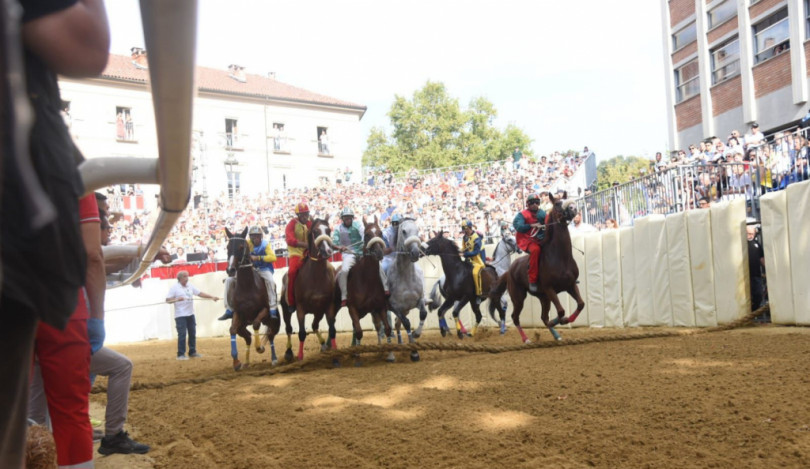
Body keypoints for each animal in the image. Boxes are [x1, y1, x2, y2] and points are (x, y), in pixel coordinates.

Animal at [224, 227, 280, 370]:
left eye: (241, 246)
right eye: (227, 247)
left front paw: (259, 347)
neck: (247, 287)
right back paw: (246, 362)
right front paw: (236, 362)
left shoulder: (264, 310)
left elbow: (256, 323)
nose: (230, 269)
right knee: (247, 336)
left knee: (271, 335)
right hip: (243, 325)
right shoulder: (238, 313)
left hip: (273, 321)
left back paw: (274, 359)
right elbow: (232, 329)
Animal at [278, 218, 334, 360]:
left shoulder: (327, 306)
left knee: (314, 325)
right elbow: (302, 333)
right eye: (315, 231)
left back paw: (323, 345)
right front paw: (300, 356)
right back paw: (288, 352)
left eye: (328, 230)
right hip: (286, 309)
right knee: (288, 329)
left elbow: (332, 329)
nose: (327, 251)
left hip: (318, 312)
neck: (315, 276)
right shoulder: (301, 308)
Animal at [482, 194, 584, 344]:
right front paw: (560, 320)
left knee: (543, 317)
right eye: (558, 203)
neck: (560, 257)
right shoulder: (549, 288)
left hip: (543, 297)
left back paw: (556, 335)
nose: (573, 208)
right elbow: (561, 311)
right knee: (515, 317)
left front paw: (566, 320)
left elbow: (580, 304)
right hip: (519, 297)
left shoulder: (570, 285)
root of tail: (509, 270)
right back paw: (526, 339)